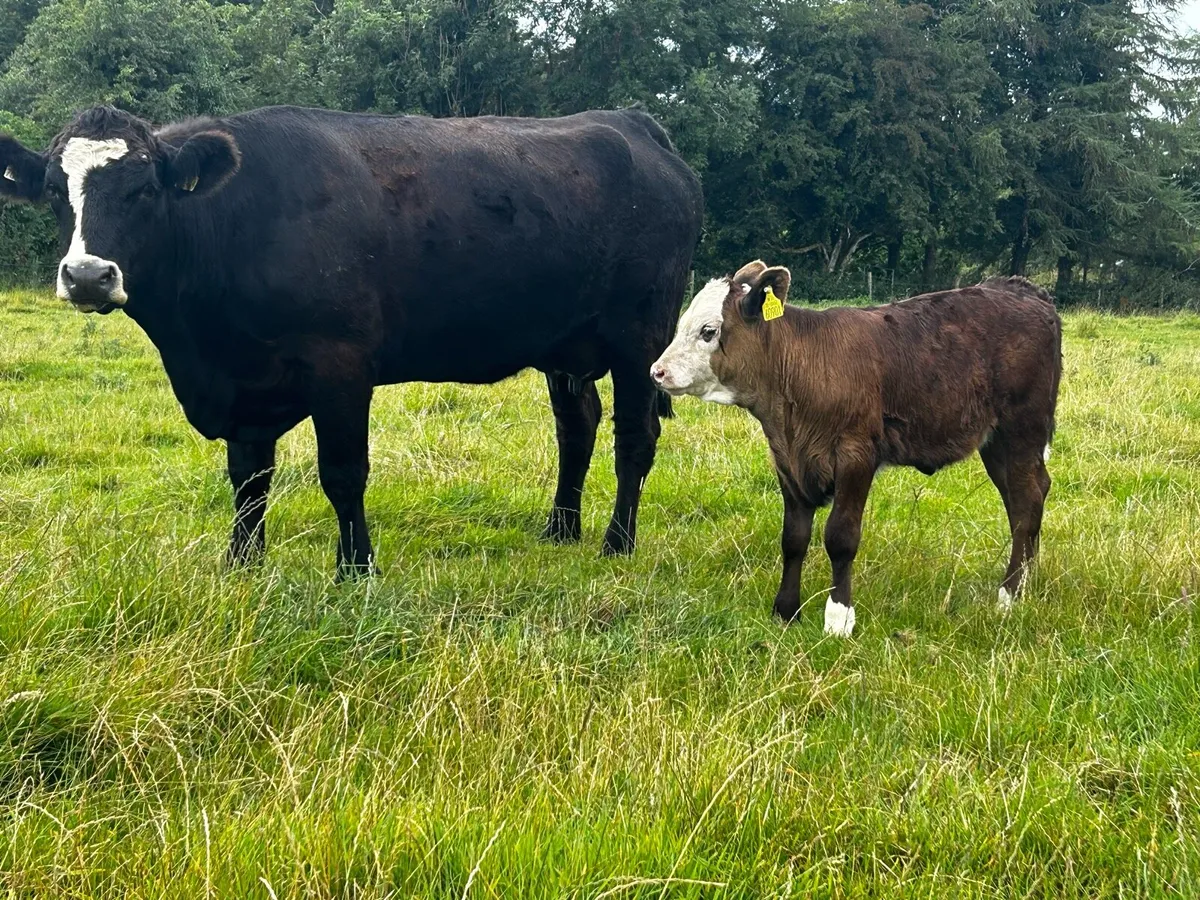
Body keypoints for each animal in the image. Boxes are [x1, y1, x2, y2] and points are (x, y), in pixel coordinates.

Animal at [0, 104, 704, 576]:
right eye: (57, 193)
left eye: (145, 188)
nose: (87, 275)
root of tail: (633, 122)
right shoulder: (245, 379)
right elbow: (248, 477)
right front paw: (242, 565)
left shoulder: (338, 366)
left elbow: (343, 472)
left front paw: (356, 569)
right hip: (565, 346)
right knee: (576, 427)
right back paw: (560, 531)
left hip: (639, 338)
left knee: (635, 439)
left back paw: (617, 543)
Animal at [651, 262, 1062, 637]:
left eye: (708, 331)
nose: (657, 372)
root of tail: (1022, 289)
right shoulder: (788, 461)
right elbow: (793, 538)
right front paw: (786, 610)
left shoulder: (855, 455)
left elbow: (840, 537)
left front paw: (839, 618)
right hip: (997, 442)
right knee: (1025, 499)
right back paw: (1026, 581)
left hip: (1021, 430)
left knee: (1026, 504)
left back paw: (1009, 595)